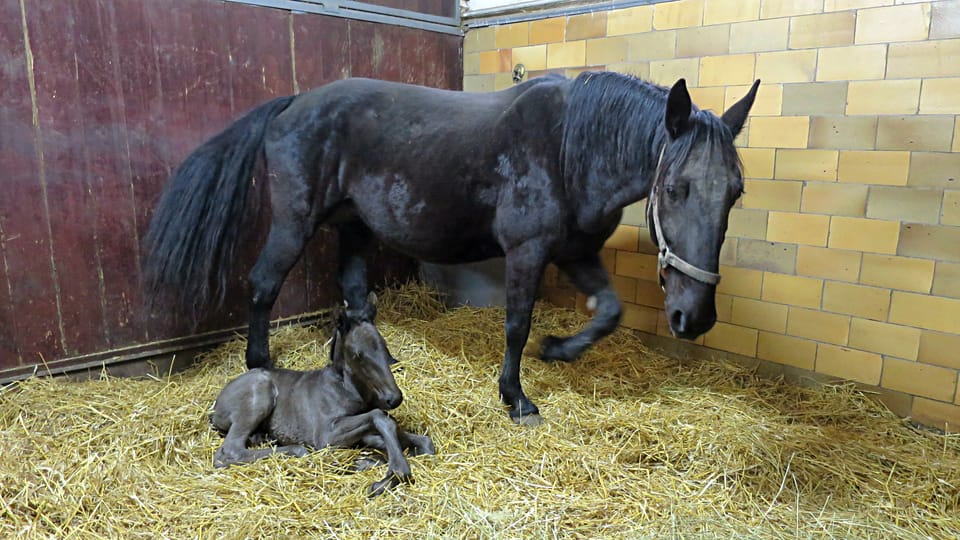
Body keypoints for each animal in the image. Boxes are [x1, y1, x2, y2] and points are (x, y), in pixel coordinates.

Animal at [213, 296, 436, 498]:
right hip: (259, 395)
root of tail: (215, 408)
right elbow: (380, 417)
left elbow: (421, 442)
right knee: (228, 452)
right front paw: (392, 475)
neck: (347, 388)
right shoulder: (325, 433)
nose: (394, 397)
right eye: (358, 354)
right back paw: (298, 450)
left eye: (384, 346)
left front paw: (367, 462)